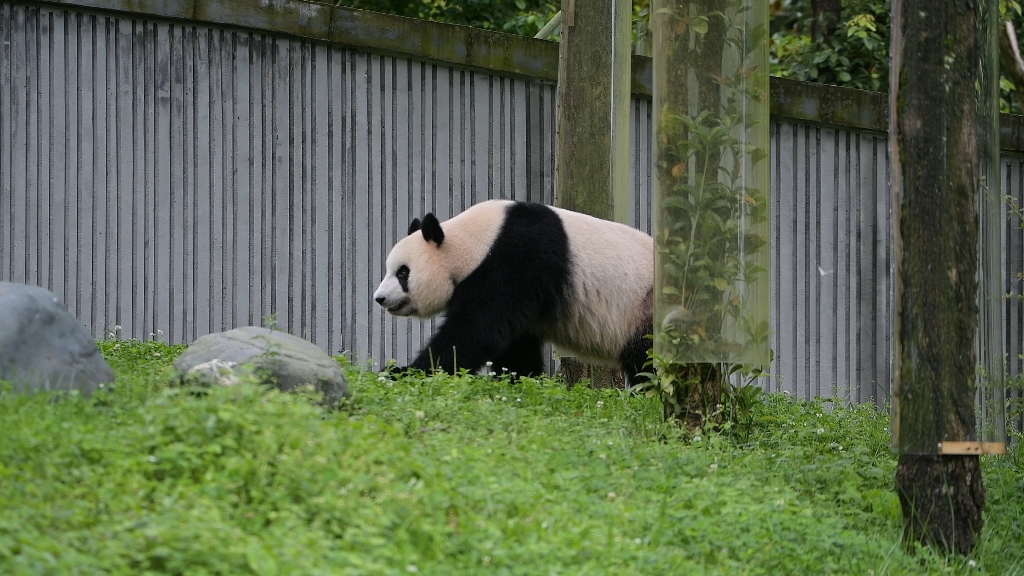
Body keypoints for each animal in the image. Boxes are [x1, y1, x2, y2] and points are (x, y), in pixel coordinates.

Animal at [372, 199, 651, 383]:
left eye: (403, 272)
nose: (380, 298)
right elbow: (515, 344)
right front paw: (518, 381)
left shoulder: (518, 259)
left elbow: (476, 329)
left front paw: (404, 372)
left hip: (642, 308)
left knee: (646, 360)